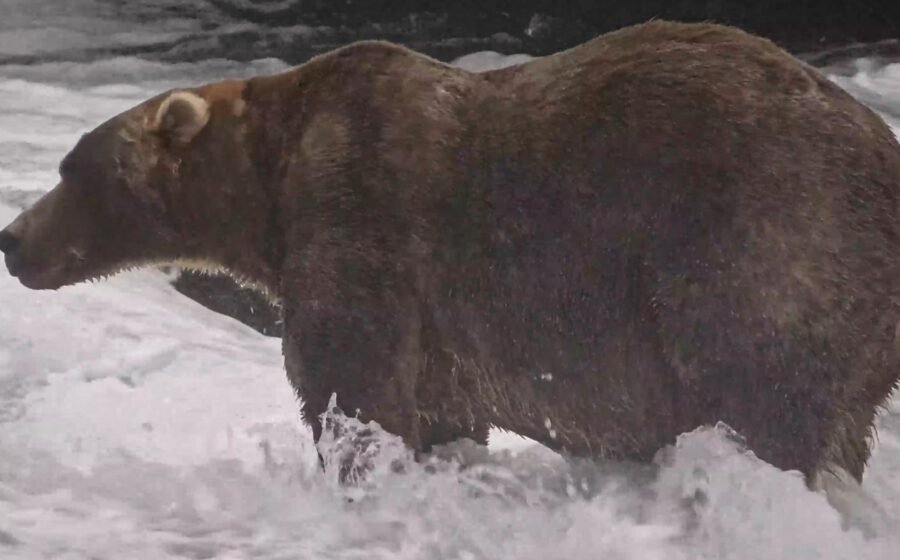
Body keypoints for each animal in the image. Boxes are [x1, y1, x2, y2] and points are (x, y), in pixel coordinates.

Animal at [1, 20, 899, 496]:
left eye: (70, 168)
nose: (12, 238)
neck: (267, 186)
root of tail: (882, 148)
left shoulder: (361, 220)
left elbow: (353, 386)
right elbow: (438, 413)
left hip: (763, 241)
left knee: (764, 394)